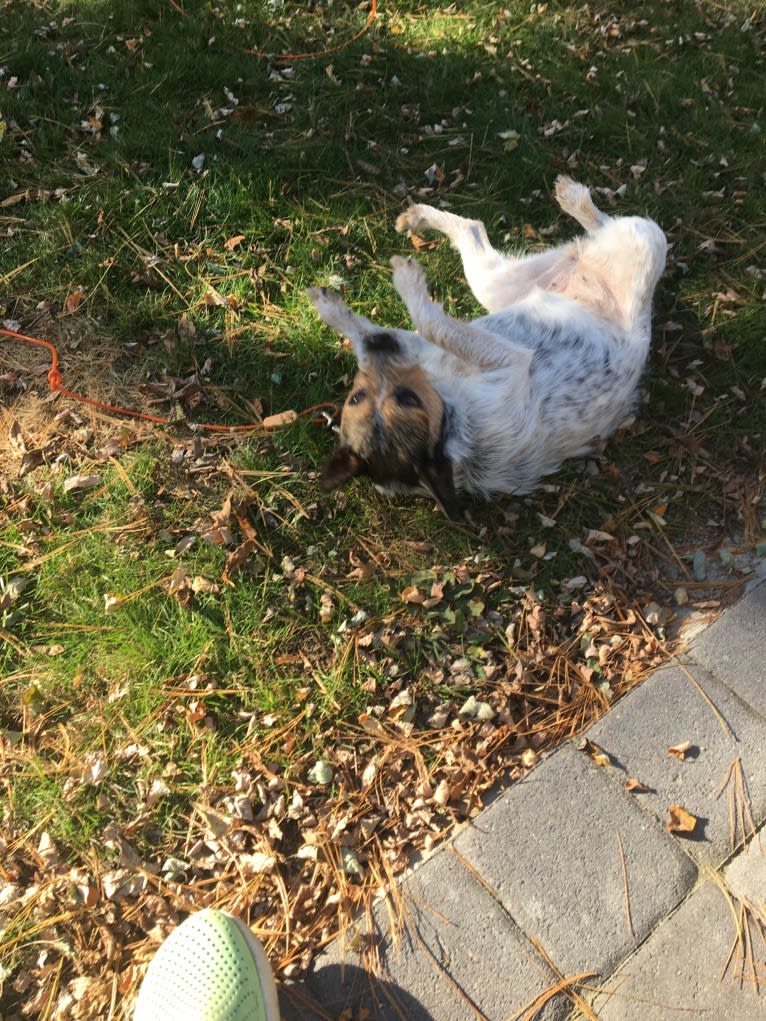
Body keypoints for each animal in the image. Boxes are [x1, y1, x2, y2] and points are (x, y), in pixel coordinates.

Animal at [306, 177, 665, 518]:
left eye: (356, 397)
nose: (380, 344)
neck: (453, 417)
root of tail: (581, 263)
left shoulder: (417, 348)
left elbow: (397, 327)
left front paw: (331, 308)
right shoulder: (503, 357)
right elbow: (427, 323)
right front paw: (394, 288)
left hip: (497, 284)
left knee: (477, 226)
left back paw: (421, 216)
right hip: (635, 242)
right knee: (595, 223)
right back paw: (575, 198)